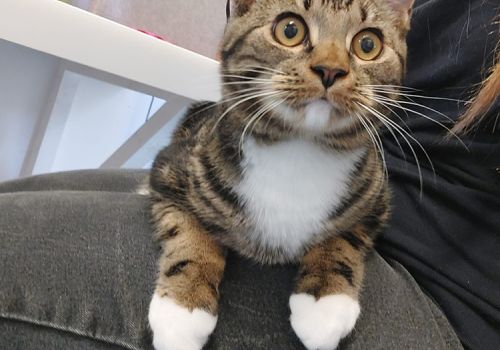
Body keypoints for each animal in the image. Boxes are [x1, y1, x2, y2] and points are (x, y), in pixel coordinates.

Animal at [147, 0, 414, 350]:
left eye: (368, 44)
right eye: (290, 30)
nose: (331, 70)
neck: (299, 150)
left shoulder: (375, 199)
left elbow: (344, 238)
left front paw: (325, 301)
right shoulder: (169, 171)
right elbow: (190, 231)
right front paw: (183, 307)